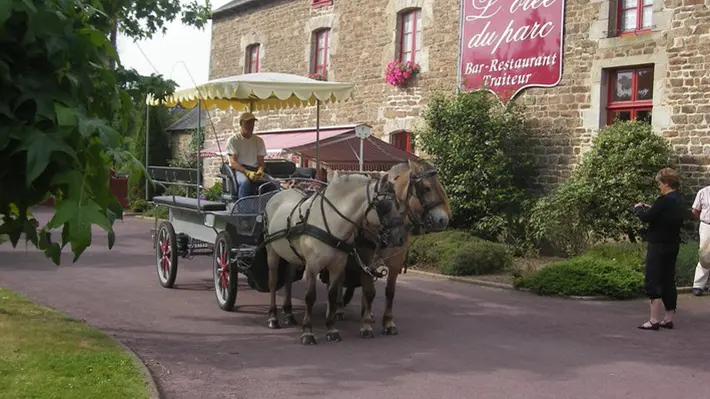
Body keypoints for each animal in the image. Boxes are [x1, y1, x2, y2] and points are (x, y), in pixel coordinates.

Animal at [262, 173, 408, 346]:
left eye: (398, 204)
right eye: (384, 204)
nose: (400, 238)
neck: (331, 223)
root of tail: (276, 195)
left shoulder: (337, 266)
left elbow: (332, 295)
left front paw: (331, 329)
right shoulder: (312, 266)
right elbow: (310, 297)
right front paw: (307, 332)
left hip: (291, 256)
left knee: (289, 279)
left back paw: (289, 314)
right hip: (271, 252)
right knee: (272, 282)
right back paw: (273, 317)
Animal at [332, 159, 454, 338]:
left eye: (440, 185)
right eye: (426, 188)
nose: (443, 220)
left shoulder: (396, 259)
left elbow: (389, 292)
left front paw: (387, 322)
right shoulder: (366, 256)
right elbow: (369, 291)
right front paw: (366, 325)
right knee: (340, 279)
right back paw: (339, 308)